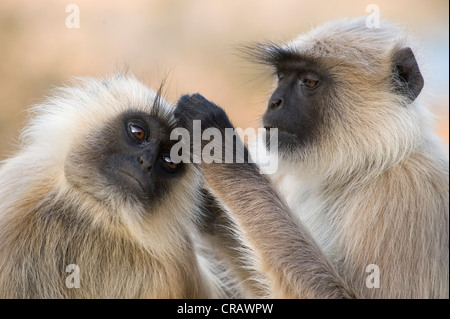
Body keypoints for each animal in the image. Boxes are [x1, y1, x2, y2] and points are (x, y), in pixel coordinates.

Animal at [178, 17, 448, 300]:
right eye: (282, 77)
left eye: (308, 82)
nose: (274, 102)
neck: (361, 165)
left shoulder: (407, 192)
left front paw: (217, 144)